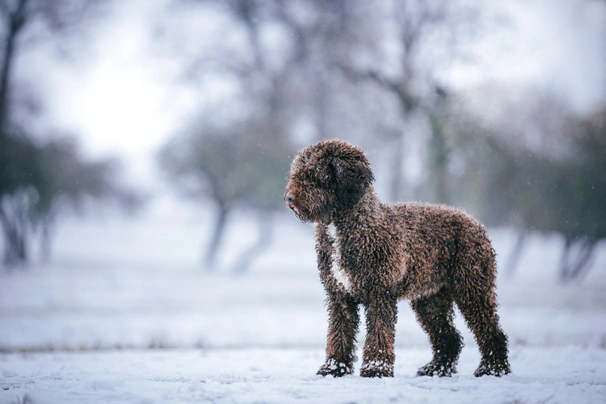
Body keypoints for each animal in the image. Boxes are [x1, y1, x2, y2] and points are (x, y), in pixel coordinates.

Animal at [286, 140, 512, 378]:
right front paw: (334, 368)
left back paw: (493, 368)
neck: (355, 225)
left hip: (472, 288)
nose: (289, 198)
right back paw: (436, 368)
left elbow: (379, 333)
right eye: (296, 174)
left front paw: (375, 369)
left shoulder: (380, 292)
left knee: (492, 332)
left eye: (314, 176)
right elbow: (339, 333)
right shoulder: (340, 295)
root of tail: (475, 222)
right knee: (449, 337)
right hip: (431, 299)